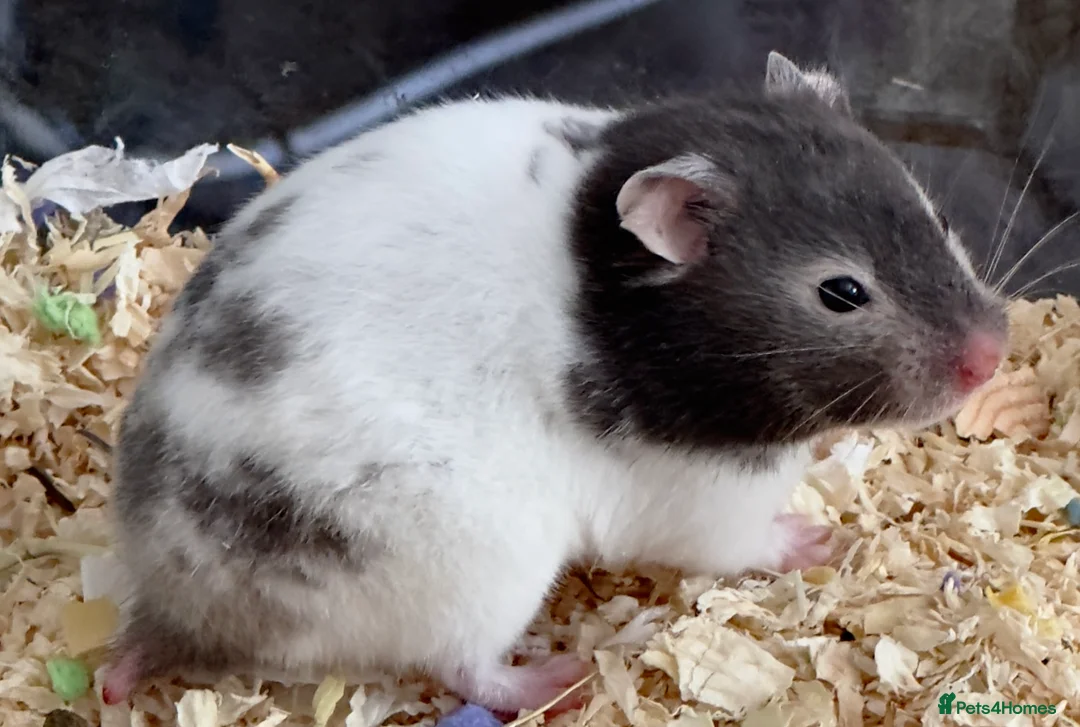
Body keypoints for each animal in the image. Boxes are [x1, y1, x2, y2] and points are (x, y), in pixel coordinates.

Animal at [100, 51, 1009, 714]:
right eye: (842, 292)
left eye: (935, 214)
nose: (993, 354)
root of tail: (174, 606)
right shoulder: (700, 499)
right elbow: (745, 541)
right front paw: (822, 540)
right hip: (476, 567)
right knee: (464, 665)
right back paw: (562, 678)